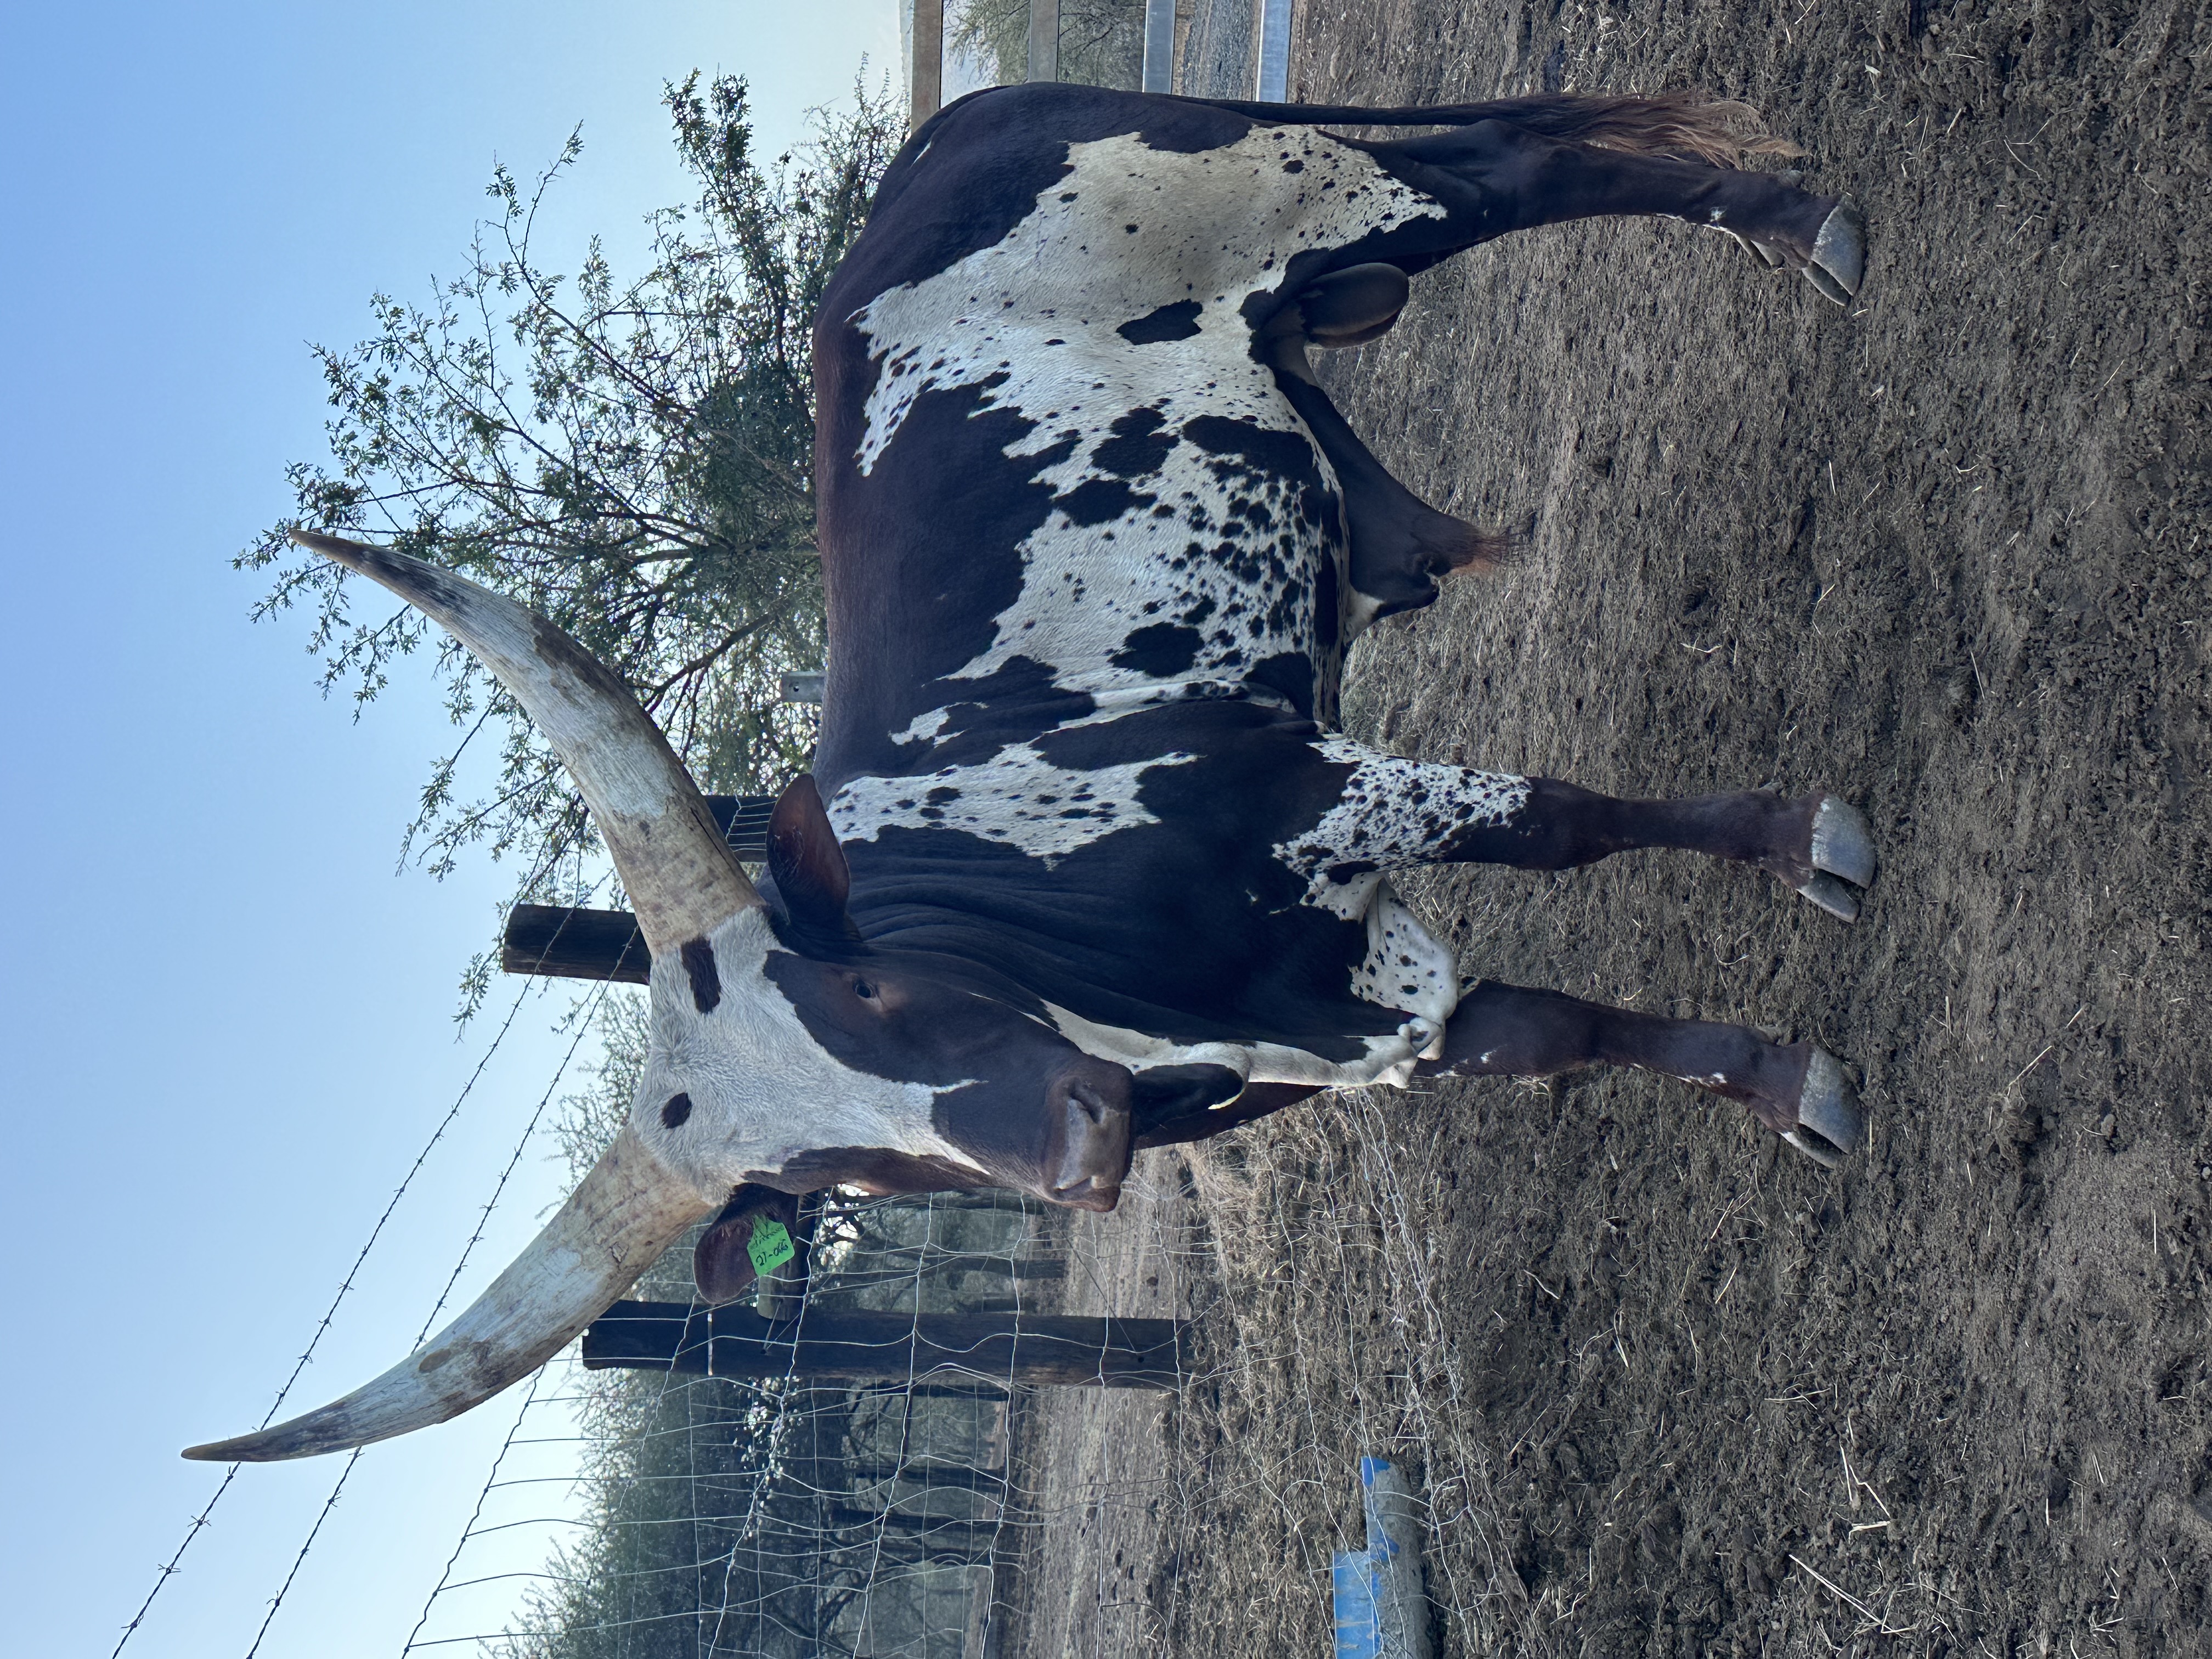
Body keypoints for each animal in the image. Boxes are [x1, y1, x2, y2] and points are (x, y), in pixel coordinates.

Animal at [187, 83, 1872, 1463]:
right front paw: (1783, 1083)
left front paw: (1808, 842)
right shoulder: (1360, 1005)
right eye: (842, 1180)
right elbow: (1564, 1032)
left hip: (1306, 183)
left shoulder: (1300, 786)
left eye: (866, 993)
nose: (1075, 1143)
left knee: (1521, 161)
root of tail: (932, 145)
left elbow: (1565, 825)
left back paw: (1805, 226)